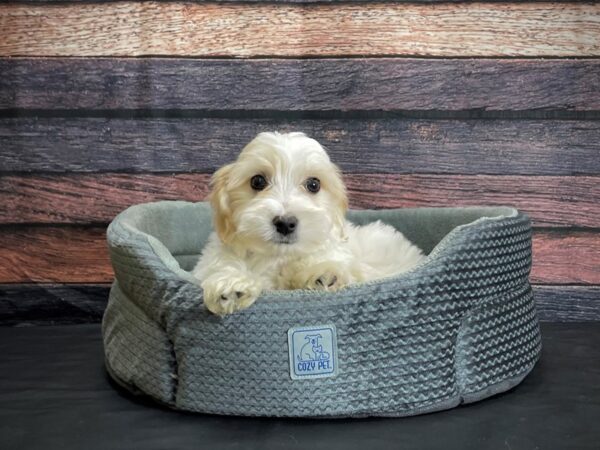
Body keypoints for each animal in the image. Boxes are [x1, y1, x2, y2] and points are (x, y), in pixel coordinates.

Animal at [193, 132, 426, 314]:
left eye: (313, 184)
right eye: (257, 181)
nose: (285, 223)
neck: (280, 257)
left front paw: (324, 273)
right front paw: (232, 283)